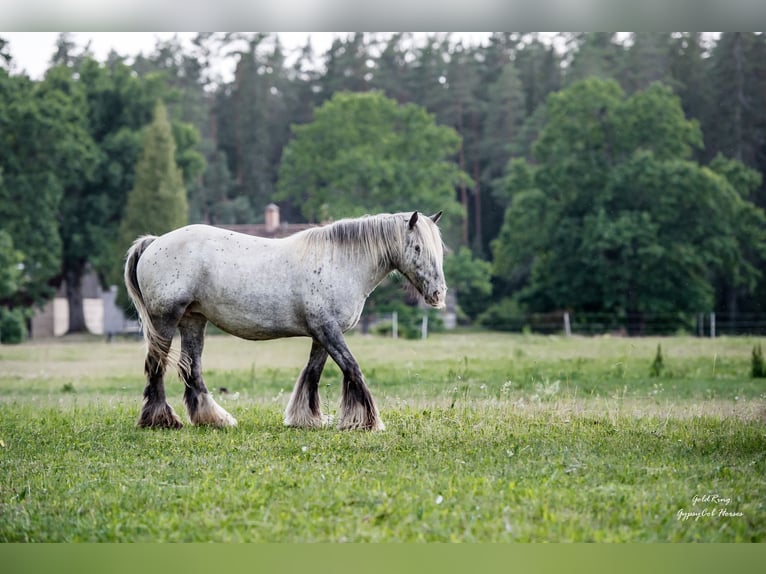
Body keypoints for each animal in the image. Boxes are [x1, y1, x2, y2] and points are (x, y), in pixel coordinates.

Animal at [123, 212, 448, 432]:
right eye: (417, 248)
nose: (438, 294)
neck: (340, 261)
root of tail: (155, 242)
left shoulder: (321, 334)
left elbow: (313, 373)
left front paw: (308, 419)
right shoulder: (328, 330)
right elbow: (352, 368)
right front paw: (366, 421)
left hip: (193, 321)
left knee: (192, 370)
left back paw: (214, 419)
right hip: (166, 319)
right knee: (156, 365)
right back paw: (161, 420)